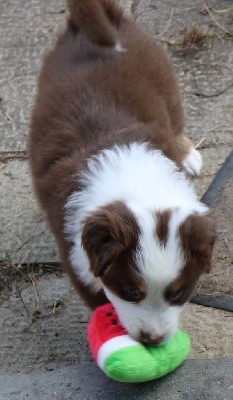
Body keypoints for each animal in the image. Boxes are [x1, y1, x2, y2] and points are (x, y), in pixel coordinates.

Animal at [29, 0, 217, 344]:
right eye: (130, 290)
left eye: (177, 294)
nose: (152, 340)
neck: (138, 186)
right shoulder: (77, 260)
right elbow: (98, 299)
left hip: (167, 87)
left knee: (176, 123)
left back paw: (188, 155)